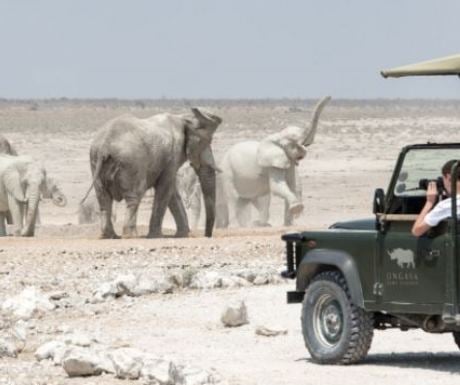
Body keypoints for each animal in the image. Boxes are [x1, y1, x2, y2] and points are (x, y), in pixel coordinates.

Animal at [87, 107, 224, 237]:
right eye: (205, 142)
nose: (207, 235)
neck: (183, 118)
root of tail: (104, 146)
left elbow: (171, 191)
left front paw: (183, 235)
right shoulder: (173, 154)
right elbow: (165, 188)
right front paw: (156, 236)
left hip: (95, 162)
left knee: (103, 198)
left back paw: (110, 236)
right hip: (130, 163)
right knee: (134, 195)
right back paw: (130, 236)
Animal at [217, 97, 328, 228]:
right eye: (292, 143)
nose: (329, 96)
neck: (277, 137)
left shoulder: (286, 160)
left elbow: (293, 185)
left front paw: (289, 225)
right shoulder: (272, 163)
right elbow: (277, 186)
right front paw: (297, 208)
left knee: (255, 201)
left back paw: (260, 224)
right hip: (227, 174)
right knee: (236, 199)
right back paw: (245, 226)